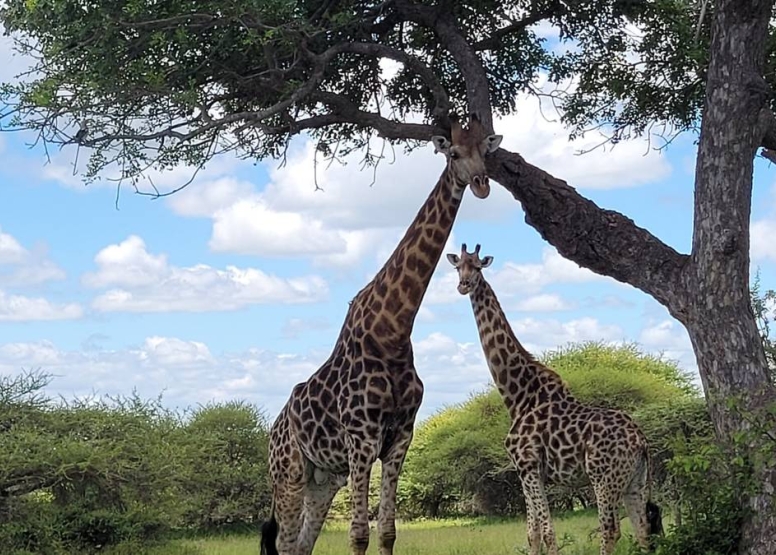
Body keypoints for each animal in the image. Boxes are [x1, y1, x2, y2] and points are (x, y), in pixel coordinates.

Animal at [260, 114, 504, 555]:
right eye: (453, 154)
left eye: (484, 151)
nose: (480, 184)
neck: (392, 331)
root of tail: (272, 430)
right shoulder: (362, 438)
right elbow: (359, 533)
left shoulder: (400, 437)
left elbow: (387, 530)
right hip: (287, 475)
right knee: (285, 545)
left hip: (323, 480)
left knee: (301, 545)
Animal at [446, 244, 664, 555]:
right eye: (457, 267)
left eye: (477, 267)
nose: (463, 285)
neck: (518, 396)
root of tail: (641, 441)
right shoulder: (526, 470)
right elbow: (533, 533)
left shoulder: (527, 464)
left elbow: (548, 532)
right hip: (635, 479)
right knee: (644, 529)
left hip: (603, 477)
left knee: (610, 529)